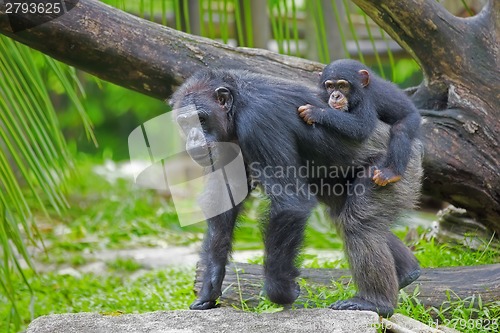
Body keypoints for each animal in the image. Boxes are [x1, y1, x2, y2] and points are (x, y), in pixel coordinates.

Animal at [170, 68, 424, 316]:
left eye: (201, 118)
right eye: (185, 122)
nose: (193, 136)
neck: (235, 110)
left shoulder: (259, 122)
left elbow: (290, 201)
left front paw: (282, 290)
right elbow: (225, 198)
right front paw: (209, 287)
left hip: (389, 172)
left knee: (359, 224)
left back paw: (375, 302)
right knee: (347, 217)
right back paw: (407, 272)